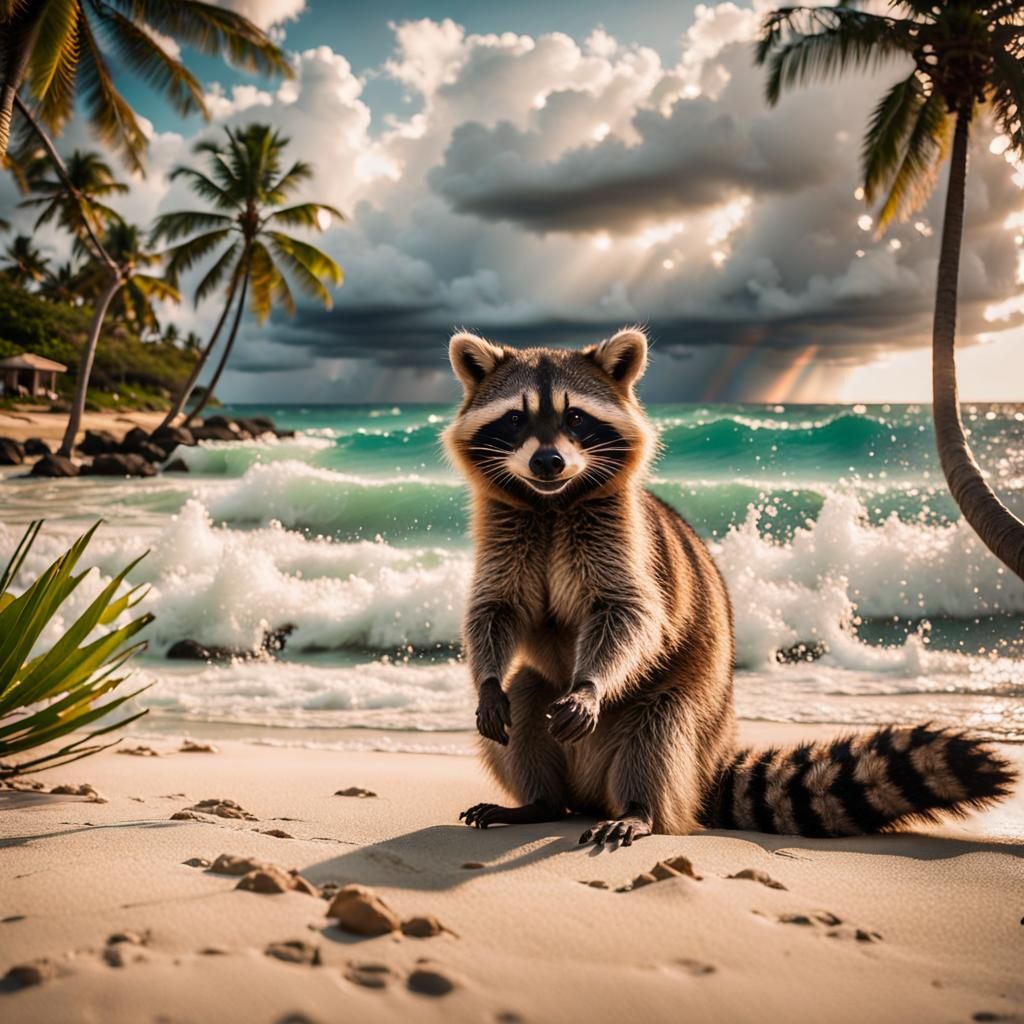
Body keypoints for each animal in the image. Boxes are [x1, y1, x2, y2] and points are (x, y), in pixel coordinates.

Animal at [443, 327, 1016, 846]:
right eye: (515, 418)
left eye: (576, 418)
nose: (548, 461)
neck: (551, 503)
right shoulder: (506, 534)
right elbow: (493, 611)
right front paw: (487, 679)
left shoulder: (624, 542)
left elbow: (630, 615)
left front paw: (591, 684)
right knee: (526, 694)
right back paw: (539, 802)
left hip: (688, 715)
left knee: (660, 728)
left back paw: (639, 809)